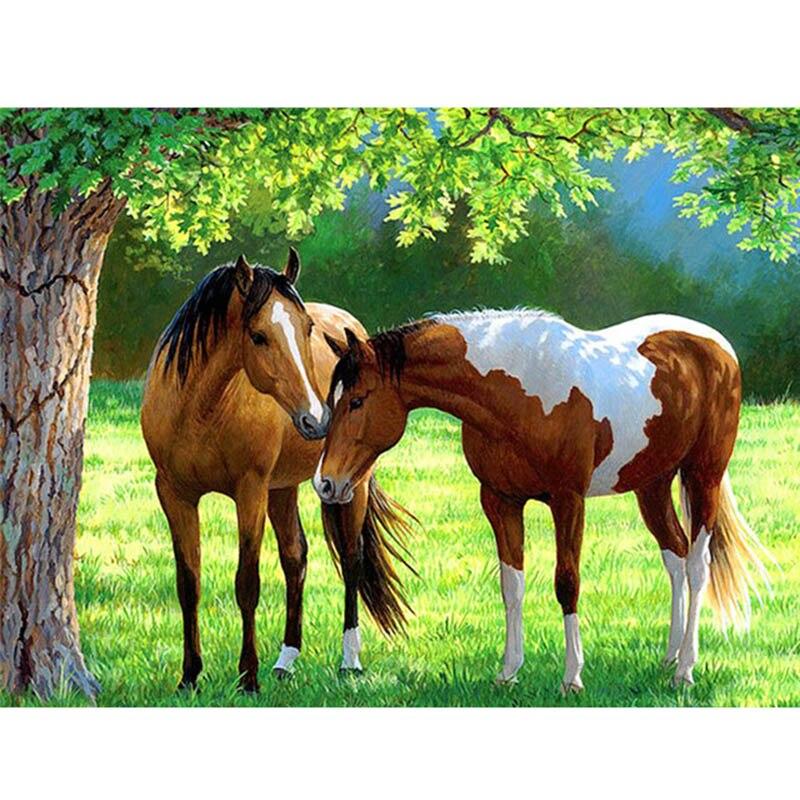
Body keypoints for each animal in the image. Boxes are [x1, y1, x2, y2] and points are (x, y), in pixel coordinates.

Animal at [140, 250, 414, 692]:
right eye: (258, 336)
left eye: (307, 328)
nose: (317, 419)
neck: (199, 411)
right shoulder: (174, 493)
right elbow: (189, 583)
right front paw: (190, 676)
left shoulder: (249, 490)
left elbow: (247, 583)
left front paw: (247, 678)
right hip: (282, 489)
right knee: (295, 557)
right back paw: (286, 660)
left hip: (349, 484)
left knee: (351, 560)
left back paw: (349, 661)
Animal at [313, 309, 772, 692]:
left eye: (357, 401)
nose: (326, 483)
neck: (519, 394)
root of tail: (716, 344)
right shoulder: (499, 501)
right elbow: (511, 585)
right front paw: (508, 672)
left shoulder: (568, 500)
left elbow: (566, 583)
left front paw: (572, 678)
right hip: (652, 484)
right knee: (674, 556)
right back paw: (669, 657)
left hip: (703, 475)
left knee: (697, 565)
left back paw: (685, 670)